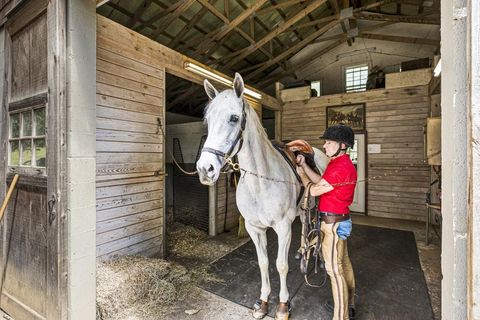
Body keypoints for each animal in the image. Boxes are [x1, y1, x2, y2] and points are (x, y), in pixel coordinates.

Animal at [197, 73, 328, 320]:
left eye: (234, 118)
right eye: (208, 121)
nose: (204, 169)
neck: (261, 182)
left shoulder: (283, 227)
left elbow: (280, 265)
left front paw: (283, 305)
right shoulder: (254, 228)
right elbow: (263, 263)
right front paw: (263, 301)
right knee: (304, 223)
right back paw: (301, 252)